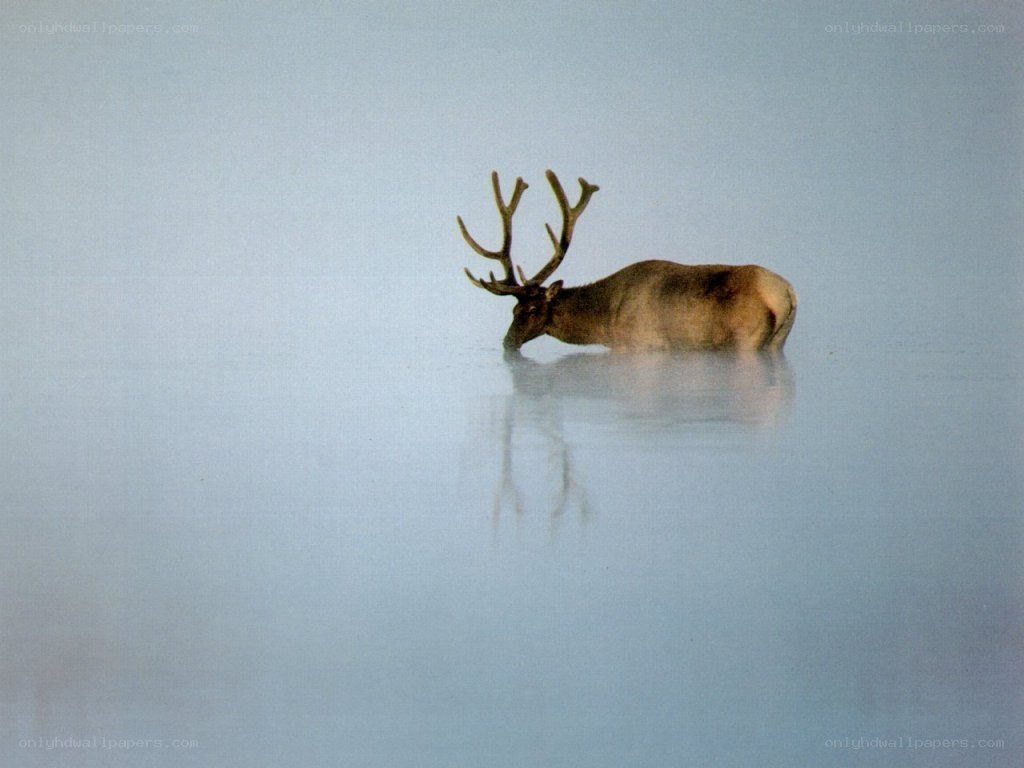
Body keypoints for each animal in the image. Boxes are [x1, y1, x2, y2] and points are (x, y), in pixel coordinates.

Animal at [458, 170, 797, 353]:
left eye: (529, 309)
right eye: (512, 310)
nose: (507, 342)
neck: (605, 324)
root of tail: (786, 294)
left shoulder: (641, 345)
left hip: (746, 340)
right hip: (777, 342)